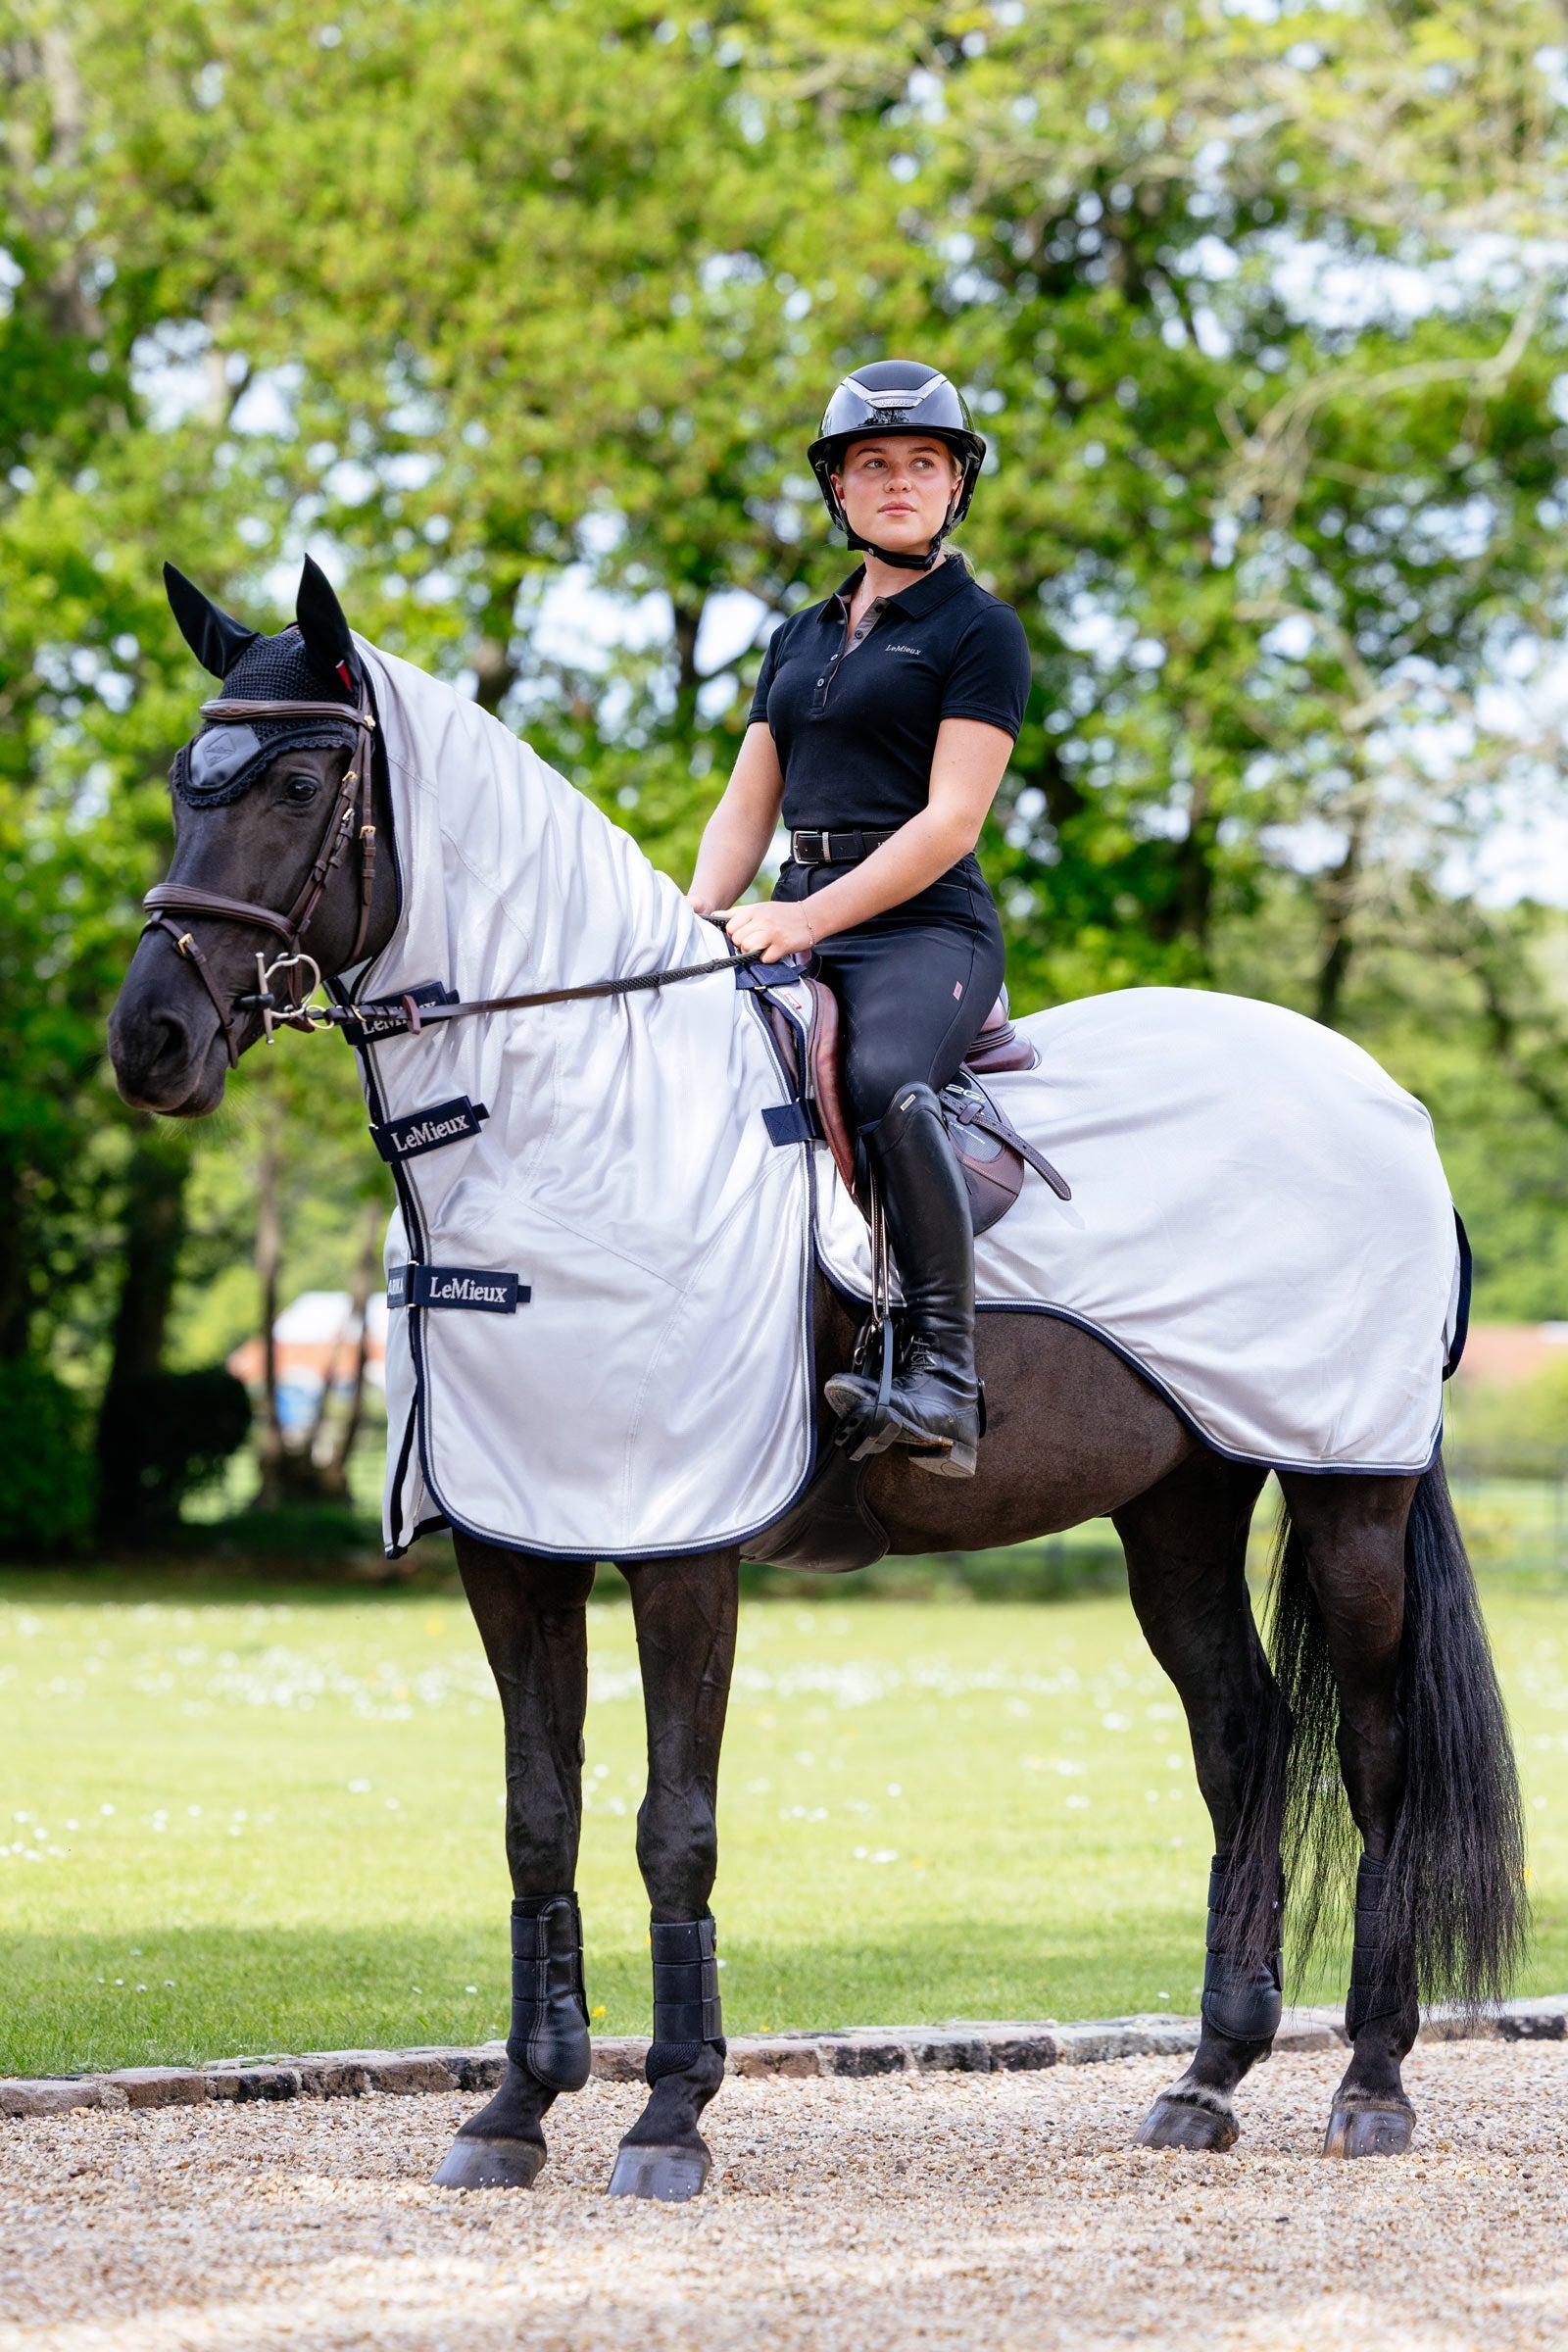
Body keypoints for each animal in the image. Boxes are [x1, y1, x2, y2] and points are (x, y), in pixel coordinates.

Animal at [107, 558, 1524, 2200]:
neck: (574, 1127)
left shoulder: (682, 1545)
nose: (151, 1041)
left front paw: (668, 2116)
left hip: (1351, 1486)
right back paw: (1207, 2080)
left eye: (294, 779)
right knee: (1241, 1742)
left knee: (1376, 1755)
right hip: (1180, 1503)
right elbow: (537, 1819)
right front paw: (514, 2110)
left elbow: (674, 1825)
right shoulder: (516, 1546)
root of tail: (1383, 1100)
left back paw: (1372, 2082)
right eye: (182, 777)